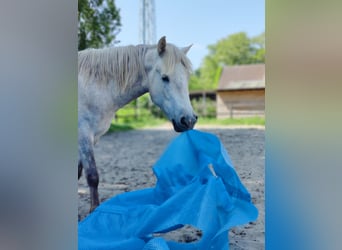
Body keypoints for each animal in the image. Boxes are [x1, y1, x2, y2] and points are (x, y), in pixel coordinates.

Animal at [78, 36, 198, 213]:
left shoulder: (92, 138)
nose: (188, 120)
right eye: (165, 77)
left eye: (187, 78)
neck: (92, 87)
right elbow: (92, 176)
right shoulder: (84, 135)